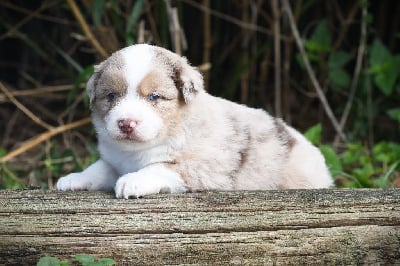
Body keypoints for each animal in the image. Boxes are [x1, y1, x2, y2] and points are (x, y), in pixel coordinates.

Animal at [55, 44, 332, 197]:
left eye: (154, 96)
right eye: (111, 96)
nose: (126, 123)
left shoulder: (206, 166)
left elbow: (162, 167)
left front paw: (134, 180)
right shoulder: (115, 159)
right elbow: (99, 168)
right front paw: (73, 178)